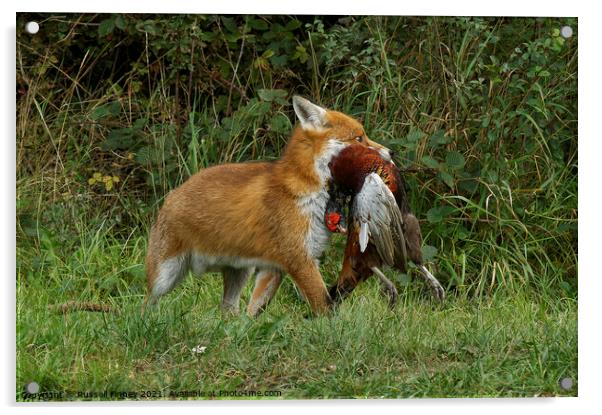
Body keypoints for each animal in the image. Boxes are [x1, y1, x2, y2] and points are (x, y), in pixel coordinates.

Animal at [145, 96, 390, 316]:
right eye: (359, 138)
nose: (391, 152)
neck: (308, 193)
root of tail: (174, 192)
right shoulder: (299, 259)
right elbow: (325, 306)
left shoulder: (275, 267)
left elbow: (254, 311)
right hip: (165, 275)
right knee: (146, 302)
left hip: (239, 272)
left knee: (228, 312)